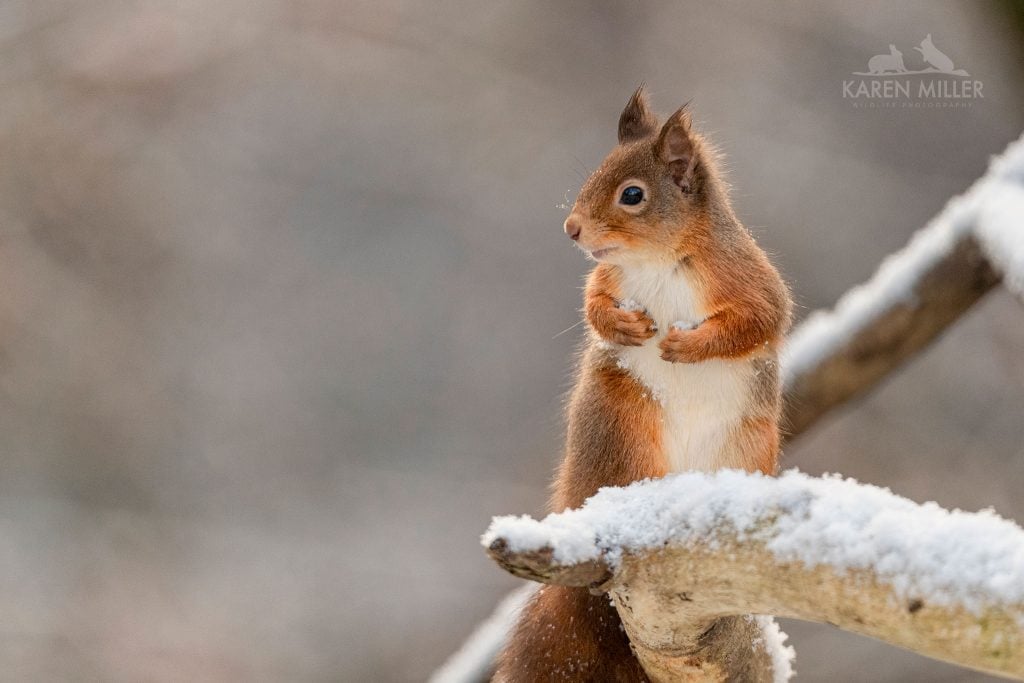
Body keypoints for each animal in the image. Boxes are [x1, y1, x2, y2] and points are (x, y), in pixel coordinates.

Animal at [494, 87, 792, 682]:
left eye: (632, 195)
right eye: (593, 174)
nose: (572, 228)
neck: (658, 261)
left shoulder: (751, 281)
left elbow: (762, 321)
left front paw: (687, 347)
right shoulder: (609, 278)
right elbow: (593, 304)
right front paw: (624, 327)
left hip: (747, 446)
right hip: (623, 427)